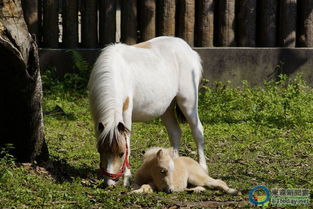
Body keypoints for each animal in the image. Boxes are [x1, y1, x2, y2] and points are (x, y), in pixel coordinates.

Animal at [87, 36, 205, 186]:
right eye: (100, 150)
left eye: (121, 153)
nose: (110, 183)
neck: (116, 72)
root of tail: (189, 51)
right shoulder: (98, 118)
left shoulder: (126, 113)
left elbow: (127, 142)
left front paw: (127, 178)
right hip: (167, 108)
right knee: (175, 133)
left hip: (188, 102)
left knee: (198, 131)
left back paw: (203, 167)